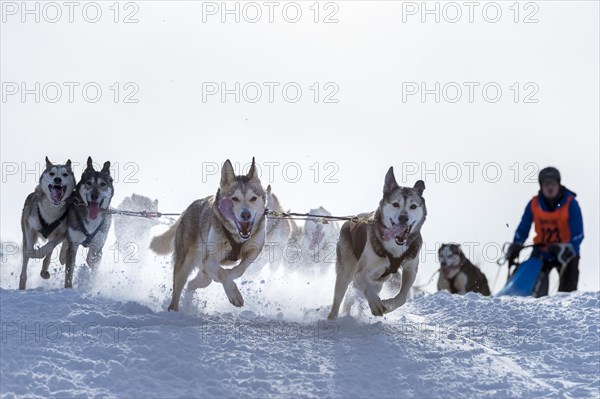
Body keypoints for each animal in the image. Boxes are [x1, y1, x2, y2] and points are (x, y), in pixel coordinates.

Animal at [62, 156, 114, 288]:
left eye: (103, 184)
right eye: (89, 183)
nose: (94, 196)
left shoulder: (97, 247)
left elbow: (92, 263)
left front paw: (90, 285)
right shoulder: (73, 244)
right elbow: (69, 270)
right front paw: (68, 288)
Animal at [149, 159, 266, 312]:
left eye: (253, 198)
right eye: (235, 198)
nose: (246, 215)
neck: (236, 236)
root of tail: (187, 210)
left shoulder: (254, 250)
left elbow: (240, 269)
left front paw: (231, 275)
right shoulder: (209, 259)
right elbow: (222, 273)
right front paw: (233, 293)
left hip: (204, 276)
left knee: (192, 284)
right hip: (185, 264)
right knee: (177, 293)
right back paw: (174, 311)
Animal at [328, 167, 426, 320]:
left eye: (413, 206)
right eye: (395, 204)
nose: (403, 218)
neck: (395, 247)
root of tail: (350, 220)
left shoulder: (411, 268)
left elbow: (402, 297)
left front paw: (389, 304)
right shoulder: (361, 273)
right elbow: (365, 285)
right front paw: (376, 304)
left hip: (379, 281)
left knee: (353, 295)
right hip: (346, 271)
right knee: (339, 297)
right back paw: (333, 318)